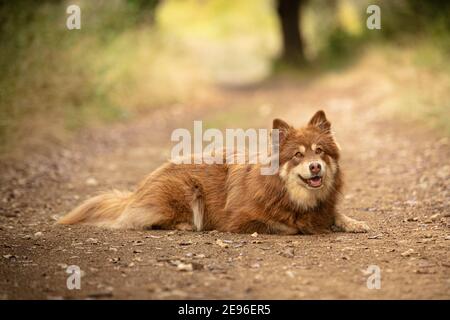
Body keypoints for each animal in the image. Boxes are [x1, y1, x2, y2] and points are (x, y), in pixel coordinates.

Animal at [59, 111, 370, 234]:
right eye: (298, 156)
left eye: (320, 151)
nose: (315, 167)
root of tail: (137, 190)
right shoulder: (240, 220)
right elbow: (286, 225)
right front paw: (304, 225)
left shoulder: (325, 206)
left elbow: (335, 214)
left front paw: (353, 222)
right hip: (187, 189)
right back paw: (184, 225)